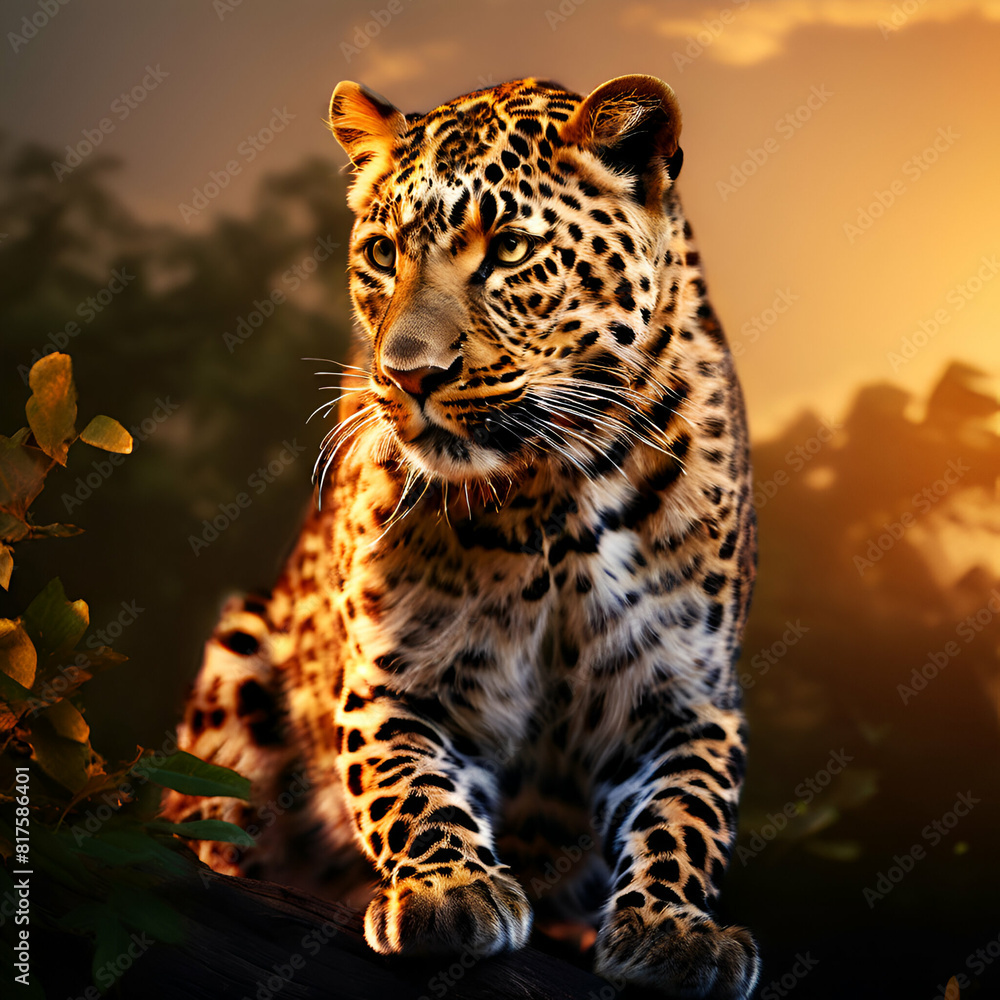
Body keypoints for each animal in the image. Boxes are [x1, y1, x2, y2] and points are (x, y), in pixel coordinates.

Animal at [163, 74, 760, 998]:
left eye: (508, 249)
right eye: (382, 255)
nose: (409, 374)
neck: (556, 485)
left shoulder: (685, 697)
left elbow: (683, 818)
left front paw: (674, 929)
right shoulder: (400, 678)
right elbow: (409, 788)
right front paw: (450, 893)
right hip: (239, 657)